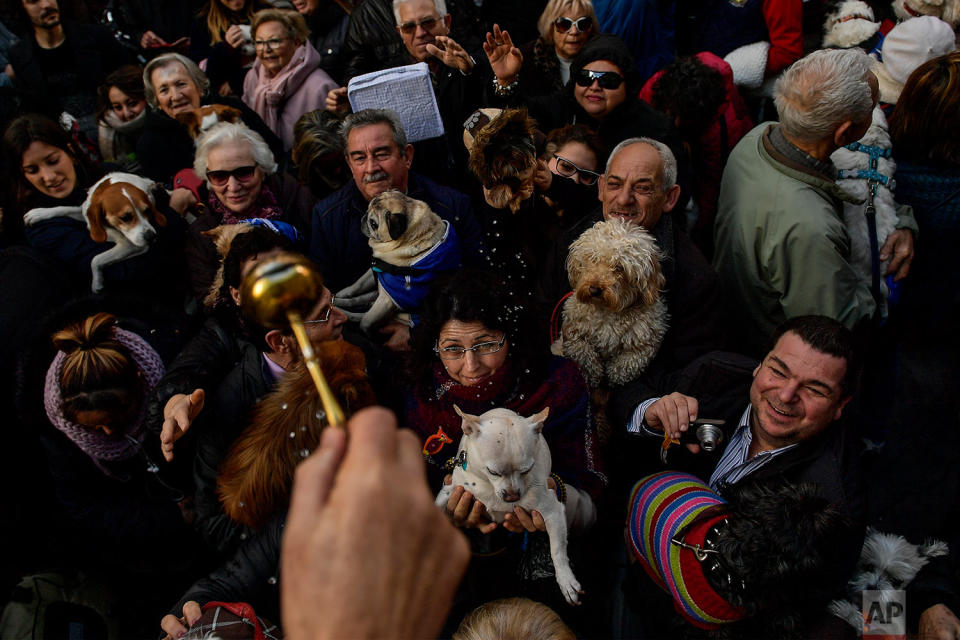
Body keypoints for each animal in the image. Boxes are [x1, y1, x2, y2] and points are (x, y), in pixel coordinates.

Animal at [23, 170, 167, 290]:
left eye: (147, 211)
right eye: (125, 217)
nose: (151, 237)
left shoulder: (131, 245)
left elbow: (96, 259)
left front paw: (97, 283)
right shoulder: (86, 213)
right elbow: (64, 208)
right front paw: (39, 213)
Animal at [560, 220, 672, 388]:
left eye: (620, 267)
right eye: (592, 258)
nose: (594, 289)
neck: (608, 311)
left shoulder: (645, 345)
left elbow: (624, 367)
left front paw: (611, 379)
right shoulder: (571, 332)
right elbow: (583, 353)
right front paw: (593, 375)